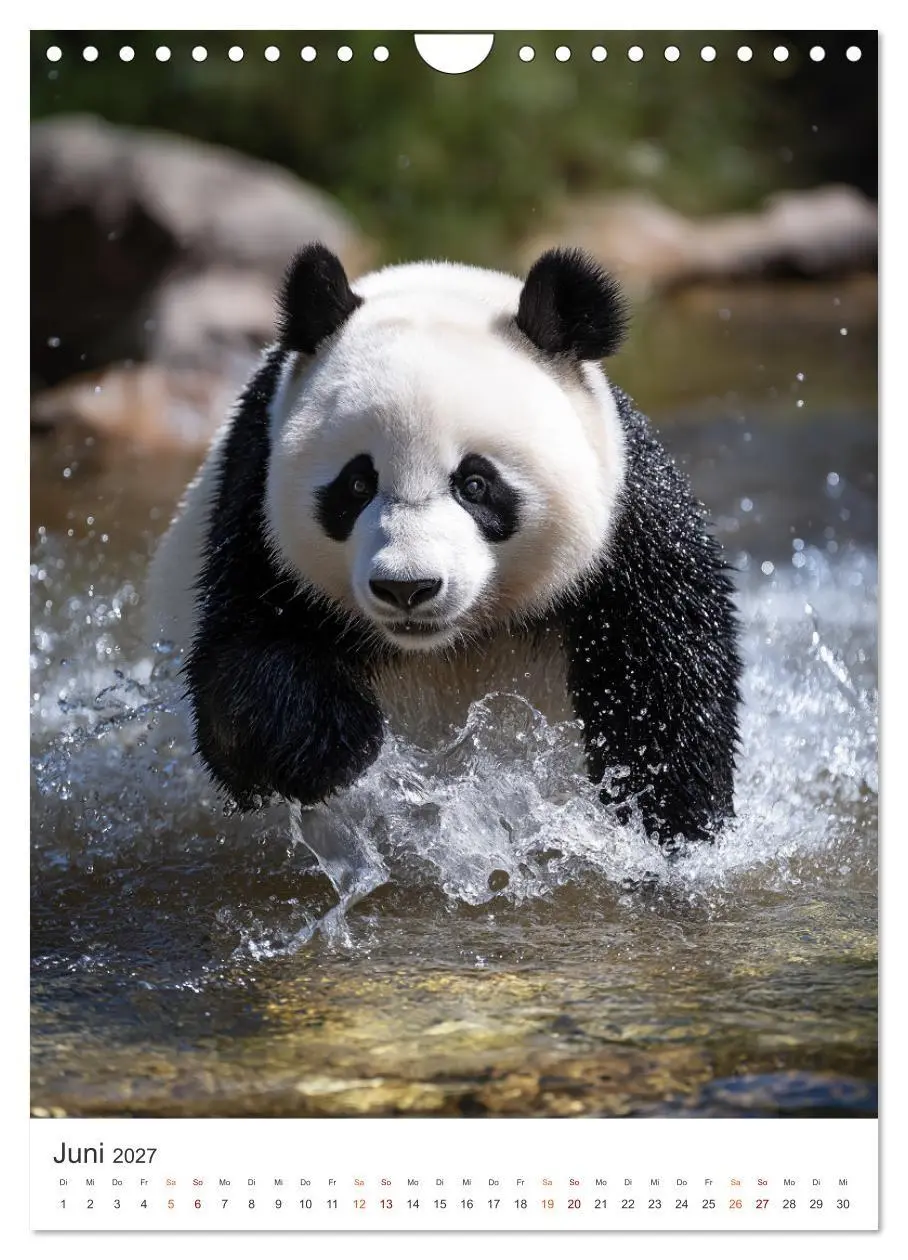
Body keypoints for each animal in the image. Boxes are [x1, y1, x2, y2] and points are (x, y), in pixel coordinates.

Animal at [146, 243, 742, 846]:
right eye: (357, 485)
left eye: (475, 484)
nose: (406, 588)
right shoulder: (254, 513)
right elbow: (240, 671)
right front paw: (334, 744)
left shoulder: (625, 530)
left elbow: (664, 686)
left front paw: (668, 825)